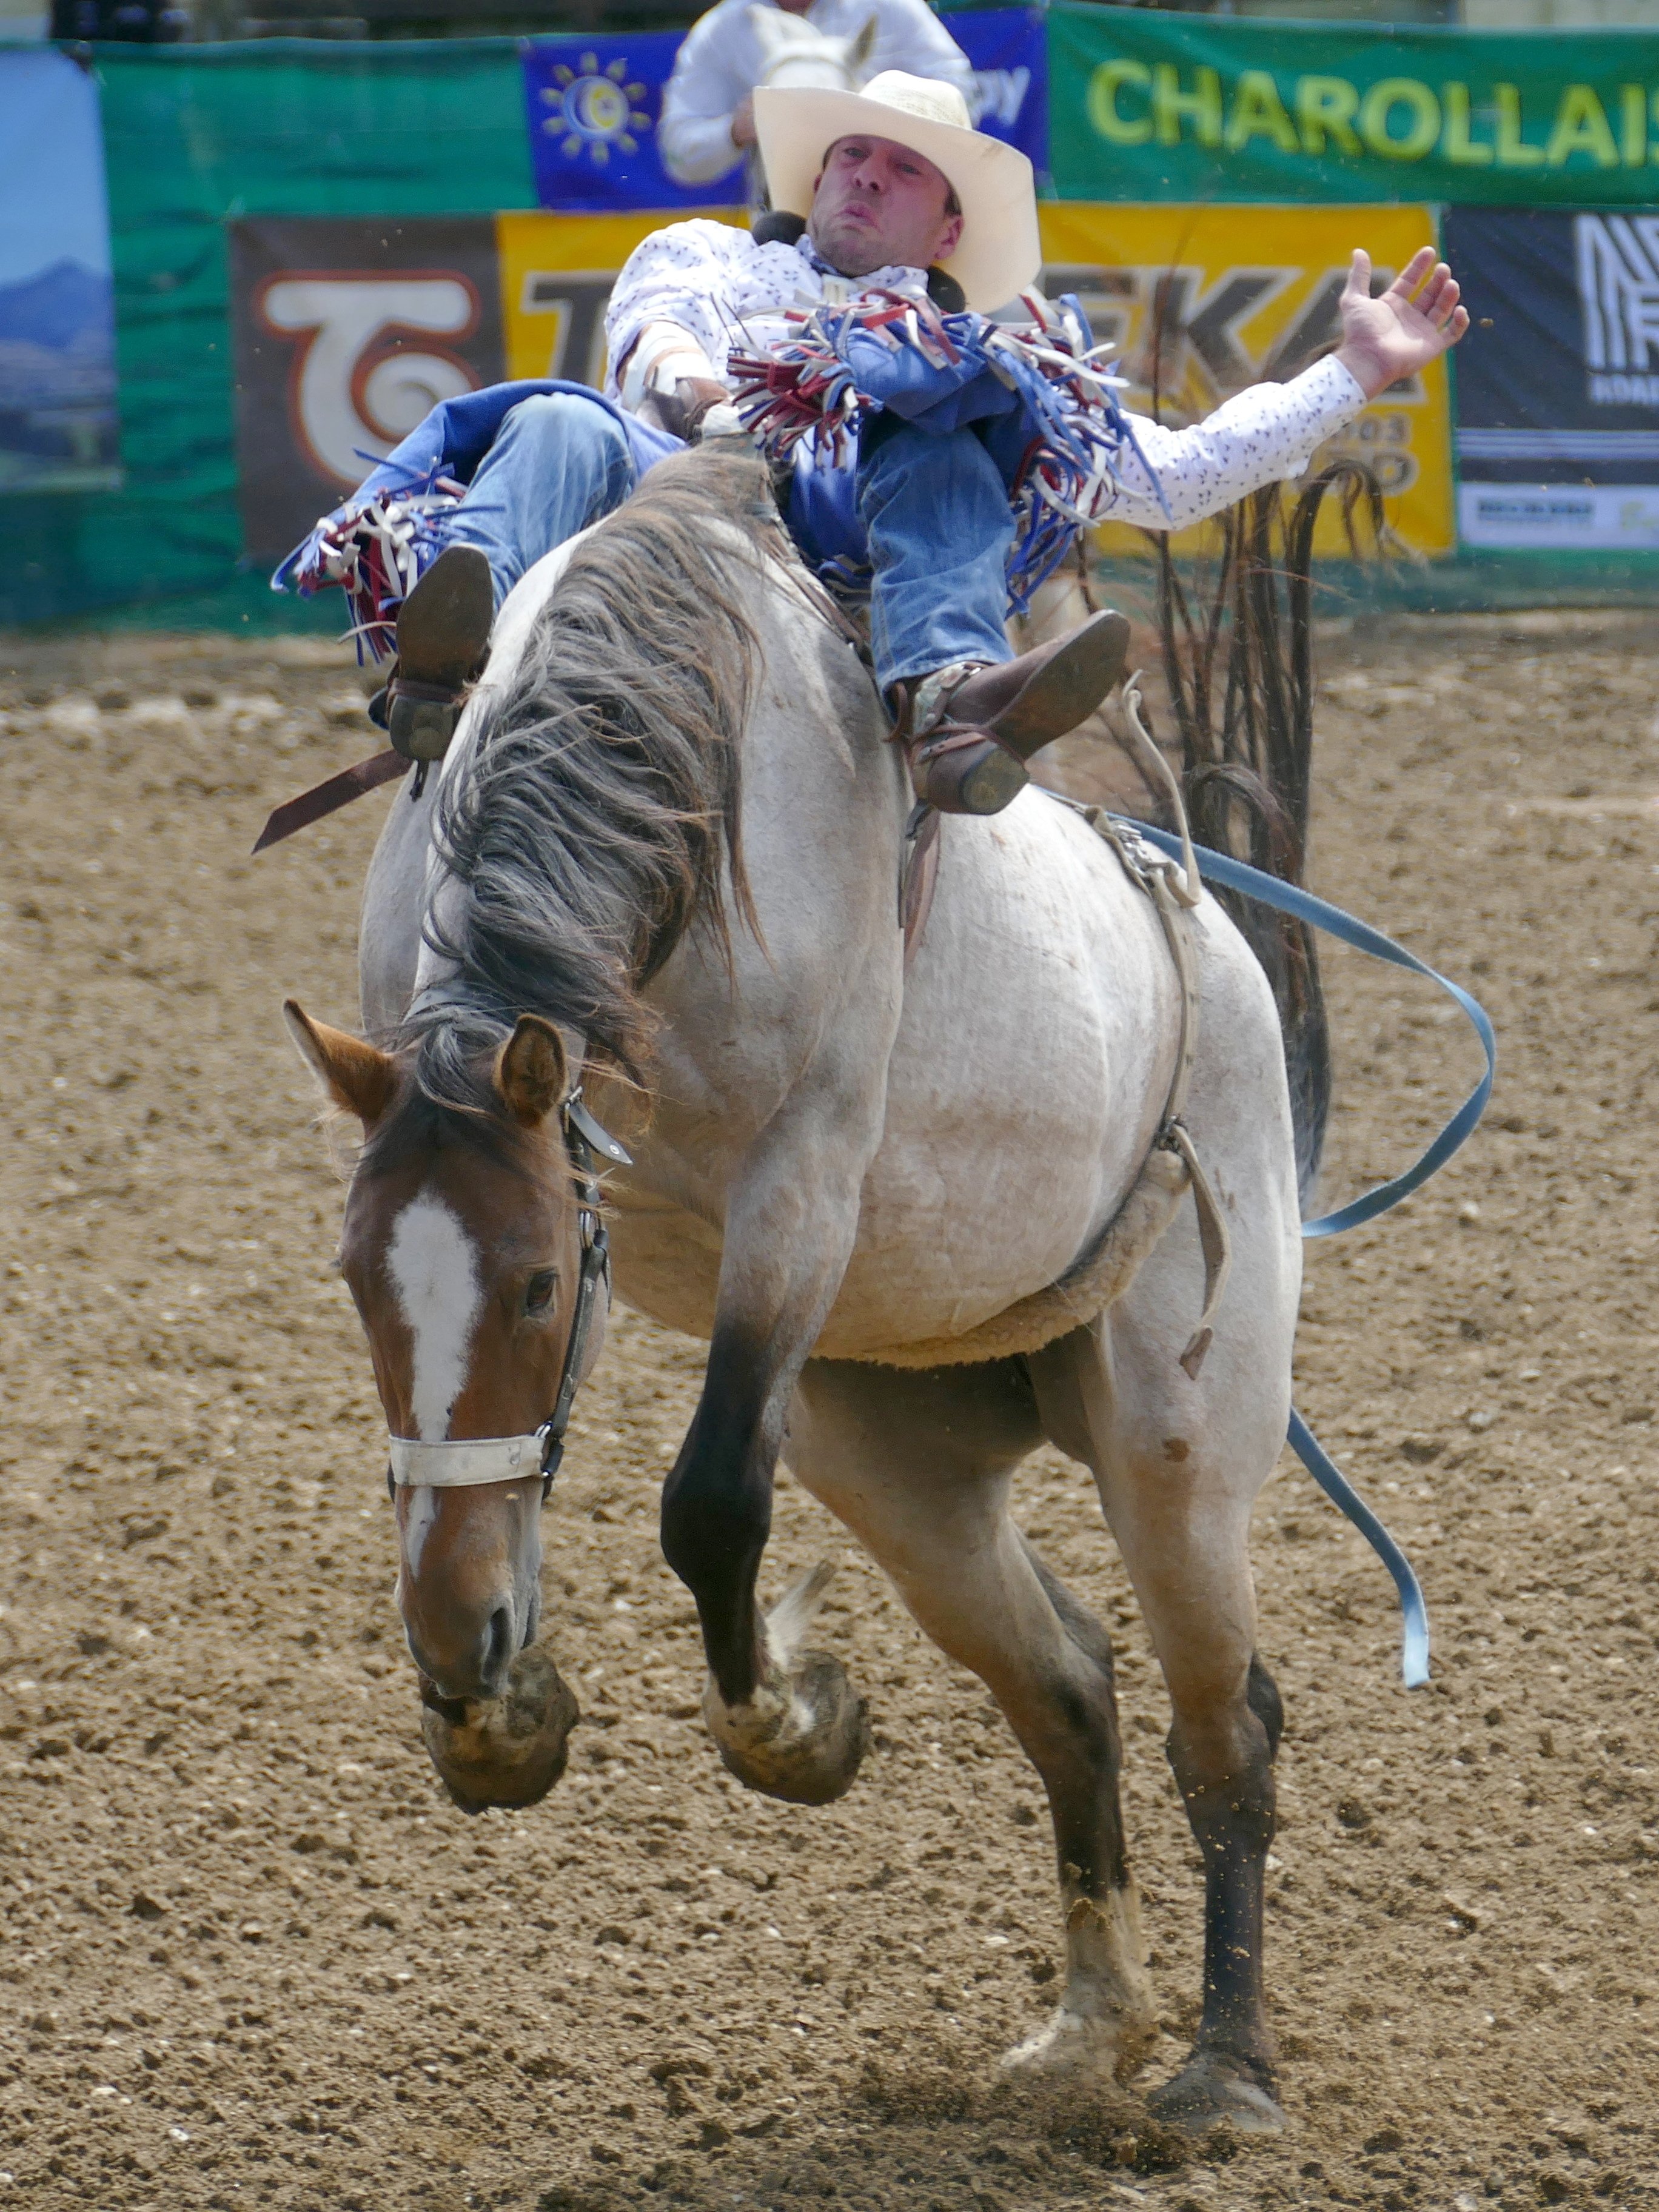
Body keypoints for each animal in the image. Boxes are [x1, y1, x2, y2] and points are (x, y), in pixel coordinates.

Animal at [289, 440, 1327, 2132]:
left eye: (535, 1287)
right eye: (357, 1280)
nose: (451, 1640)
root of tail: (1207, 934)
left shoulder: (800, 1187)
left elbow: (709, 1503)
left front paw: (788, 1723)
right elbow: (496, 1503)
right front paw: (497, 1715)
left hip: (1179, 1437)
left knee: (1222, 1723)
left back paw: (1221, 2068)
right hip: (889, 1456)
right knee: (1068, 1687)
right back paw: (1084, 2028)